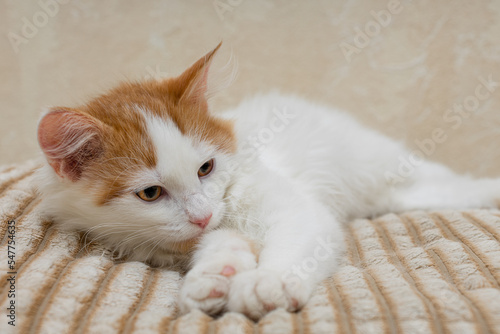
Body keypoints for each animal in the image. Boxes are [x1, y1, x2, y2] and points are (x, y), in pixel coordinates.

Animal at [36, 43, 500, 320]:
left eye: (206, 168)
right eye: (151, 193)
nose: (202, 215)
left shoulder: (298, 211)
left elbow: (291, 243)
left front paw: (267, 281)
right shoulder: (194, 239)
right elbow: (219, 244)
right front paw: (214, 277)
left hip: (381, 163)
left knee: (448, 180)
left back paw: (488, 189)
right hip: (395, 195)